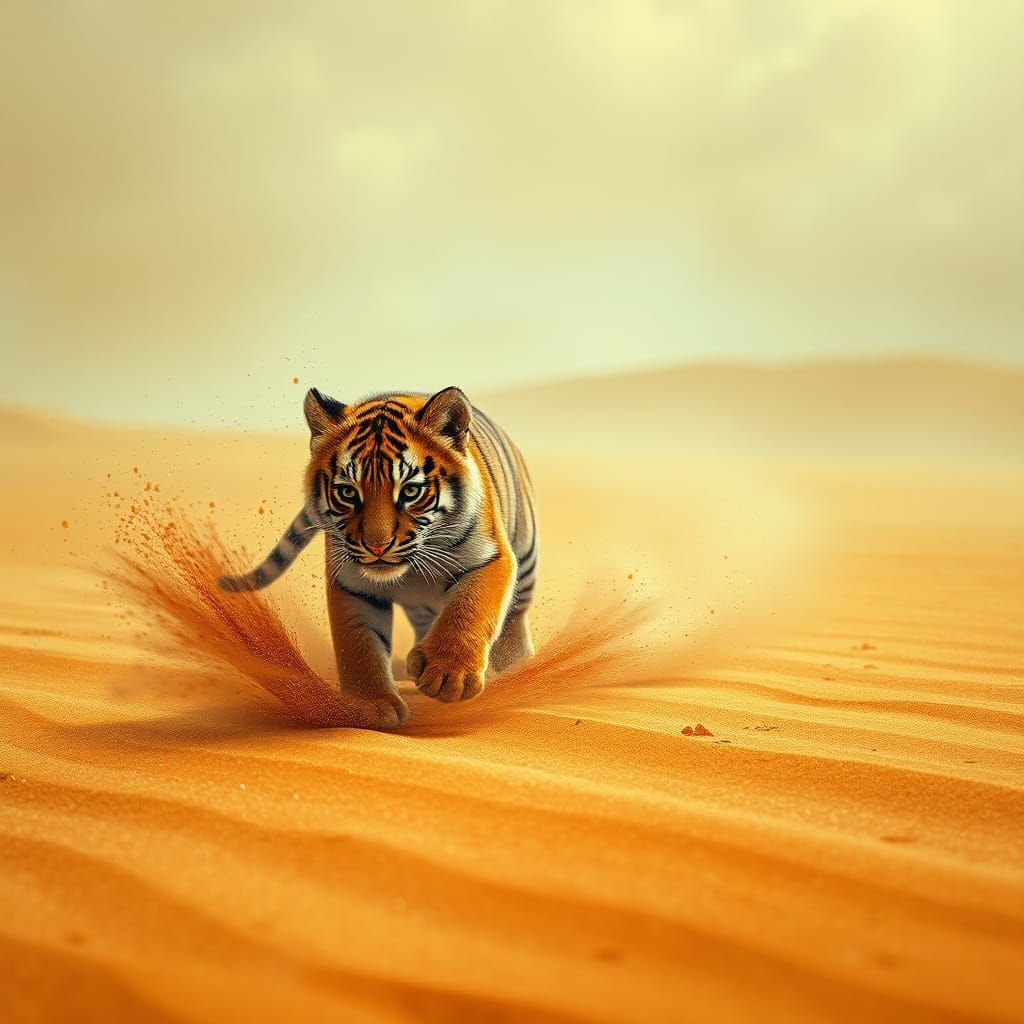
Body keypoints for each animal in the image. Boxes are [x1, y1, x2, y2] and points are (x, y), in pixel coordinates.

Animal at [219, 386, 538, 727]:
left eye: (410, 491)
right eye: (347, 493)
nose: (377, 546)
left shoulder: (490, 557)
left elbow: (470, 607)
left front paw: (448, 675)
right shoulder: (351, 583)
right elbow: (359, 644)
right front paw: (370, 707)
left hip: (526, 559)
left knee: (514, 618)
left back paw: (518, 668)